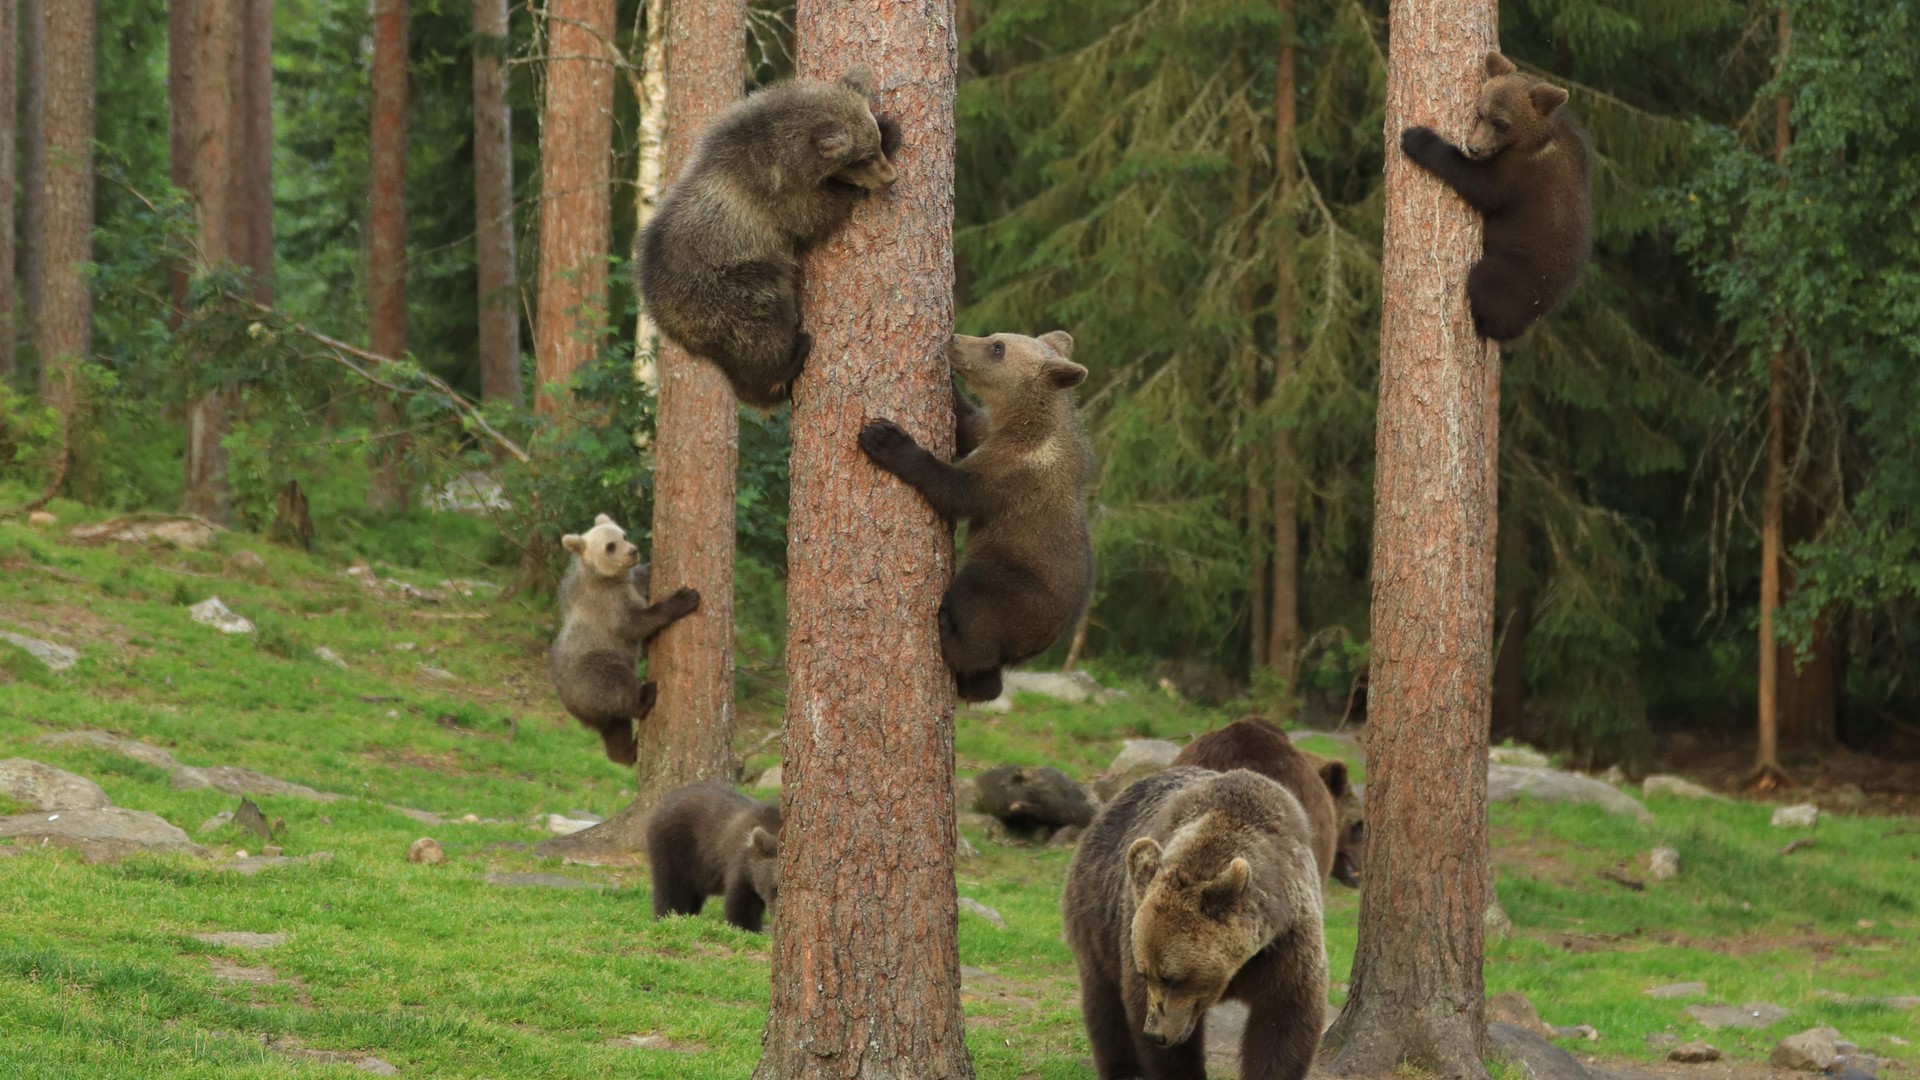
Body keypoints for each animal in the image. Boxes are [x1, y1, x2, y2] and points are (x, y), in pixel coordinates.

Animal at [549, 515, 698, 760]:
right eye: (610, 546)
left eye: (623, 535)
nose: (633, 551)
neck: (605, 577)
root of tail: (574, 707)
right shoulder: (608, 604)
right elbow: (636, 622)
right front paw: (685, 598)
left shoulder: (627, 584)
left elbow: (642, 579)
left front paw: (650, 565)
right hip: (594, 671)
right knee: (618, 685)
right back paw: (645, 695)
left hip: (602, 712)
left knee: (616, 730)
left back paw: (630, 750)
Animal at [645, 776, 779, 930]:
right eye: (774, 889)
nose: (777, 922)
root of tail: (661, 805)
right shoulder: (742, 865)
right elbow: (740, 904)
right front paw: (747, 927)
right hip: (672, 848)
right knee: (670, 888)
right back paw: (670, 916)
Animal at [1059, 764, 1328, 1076]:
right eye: (1146, 972)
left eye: (1172, 977)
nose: (1155, 1033)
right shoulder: (1132, 926)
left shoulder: (1286, 941)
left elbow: (1283, 1017)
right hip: (1096, 912)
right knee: (1104, 1002)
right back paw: (1123, 1069)